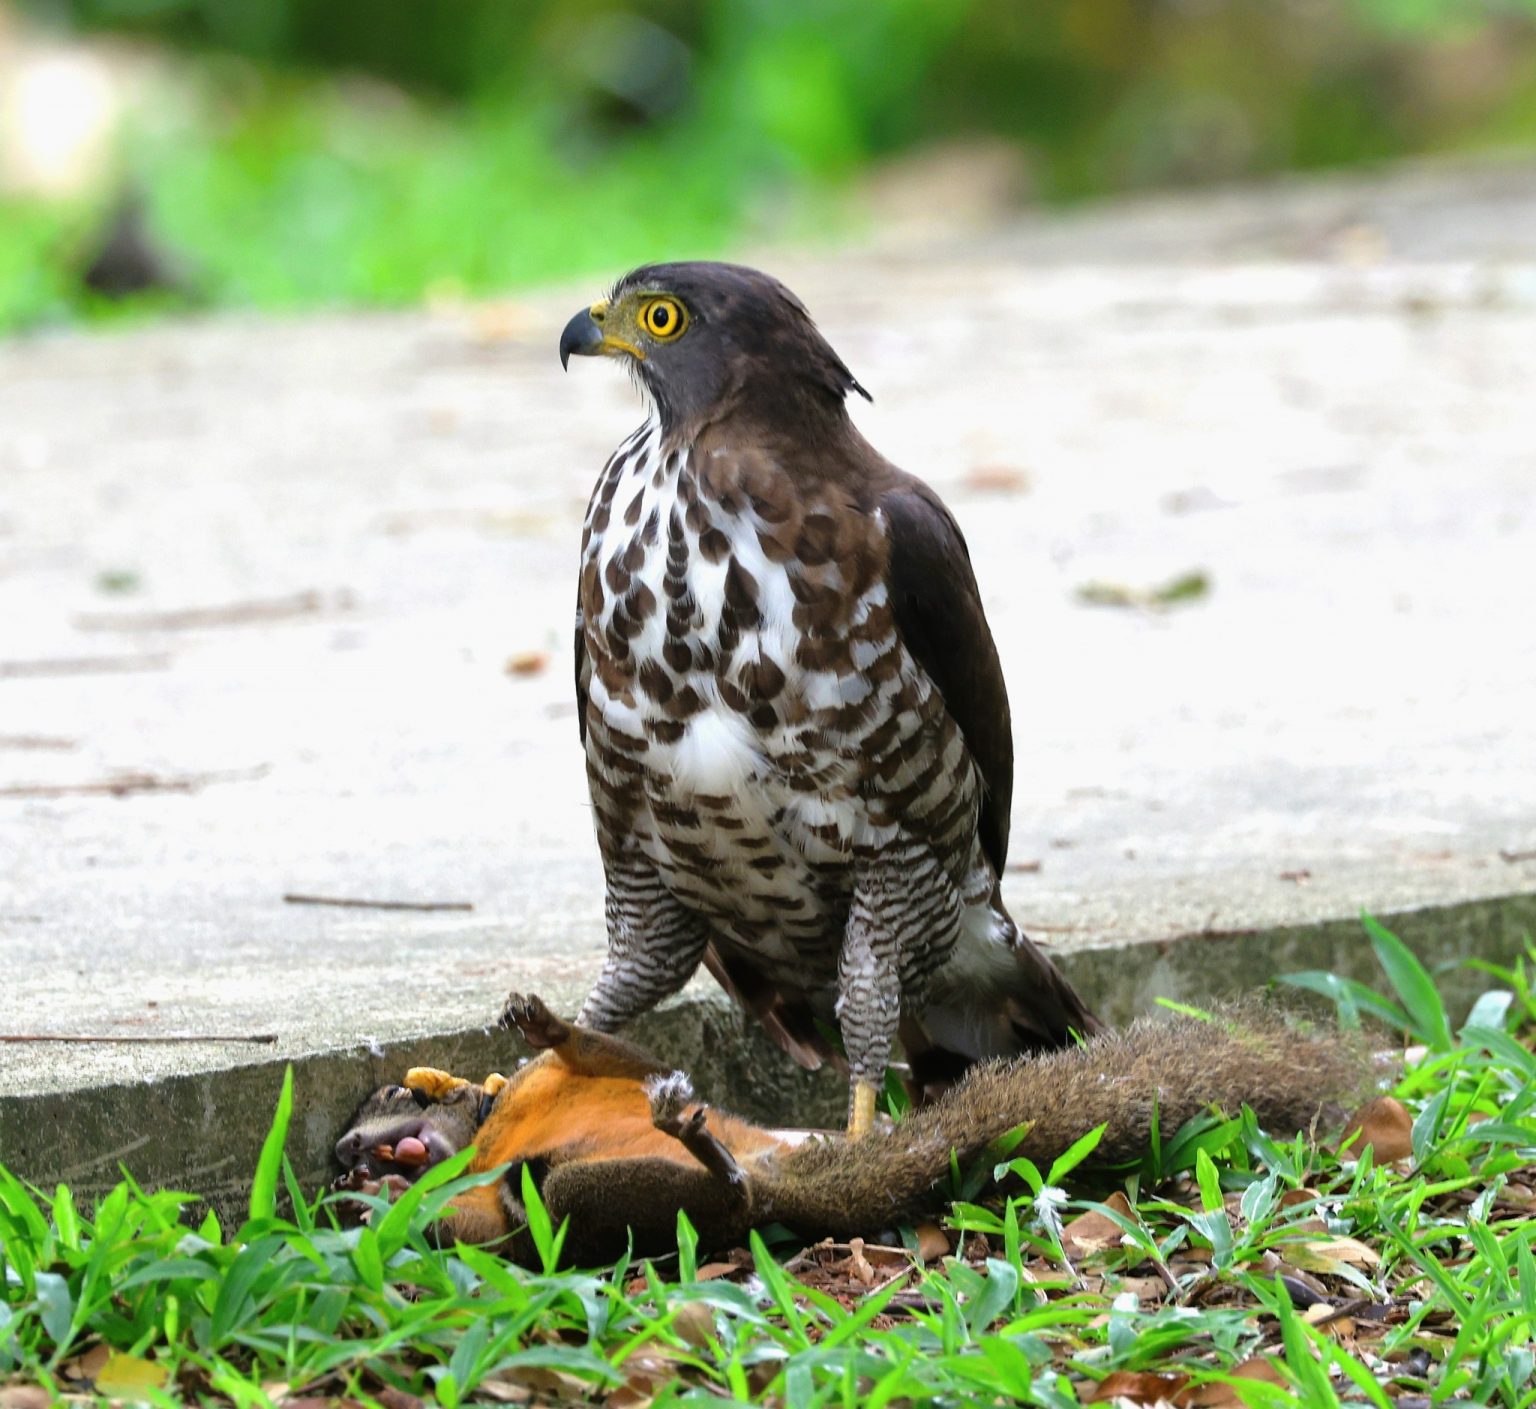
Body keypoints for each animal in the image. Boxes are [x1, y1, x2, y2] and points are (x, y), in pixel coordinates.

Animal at [334, 992, 1368, 1266]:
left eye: (387, 1089)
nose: (344, 1159)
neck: (484, 1140)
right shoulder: (481, 1211)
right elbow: (475, 1235)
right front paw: (375, 1211)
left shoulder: (545, 1084)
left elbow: (605, 1054)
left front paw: (544, 1019)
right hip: (614, 1197)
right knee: (708, 1207)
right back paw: (717, 1165)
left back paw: (701, 1138)